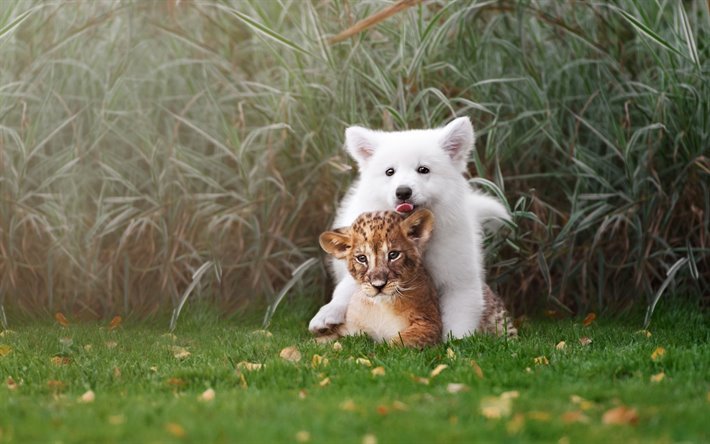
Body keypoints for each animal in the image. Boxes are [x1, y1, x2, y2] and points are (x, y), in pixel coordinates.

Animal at [312, 118, 512, 340]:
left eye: (423, 169)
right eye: (390, 172)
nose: (403, 192)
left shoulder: (458, 281)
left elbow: (458, 324)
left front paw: (454, 346)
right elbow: (347, 287)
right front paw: (327, 314)